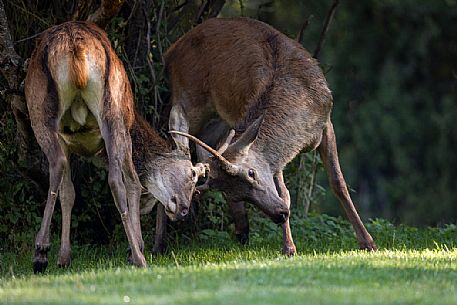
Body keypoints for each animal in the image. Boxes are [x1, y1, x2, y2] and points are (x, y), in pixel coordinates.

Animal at [24, 21, 203, 274]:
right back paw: (137, 256)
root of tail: (75, 50)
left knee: (62, 167)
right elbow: (129, 184)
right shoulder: (120, 135)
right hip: (110, 112)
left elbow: (69, 192)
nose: (183, 210)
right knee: (116, 180)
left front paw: (64, 257)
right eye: (191, 175)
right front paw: (134, 248)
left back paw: (41, 252)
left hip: (50, 110)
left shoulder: (67, 141)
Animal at [162, 17, 376, 254]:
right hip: (188, 99)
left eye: (251, 173)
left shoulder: (326, 122)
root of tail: (170, 51)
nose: (280, 215)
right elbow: (284, 192)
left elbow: (338, 182)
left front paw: (368, 242)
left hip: (220, 118)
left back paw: (242, 229)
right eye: (239, 194)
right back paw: (158, 244)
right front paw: (289, 246)